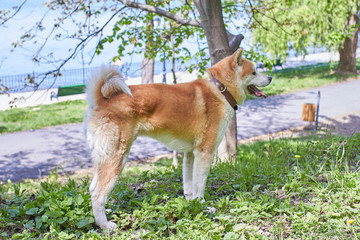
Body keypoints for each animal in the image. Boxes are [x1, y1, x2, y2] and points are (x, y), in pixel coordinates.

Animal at [83, 48, 270, 229]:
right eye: (254, 72)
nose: (270, 77)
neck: (220, 89)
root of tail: (101, 100)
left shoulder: (190, 154)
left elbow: (189, 186)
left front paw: (193, 205)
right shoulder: (204, 153)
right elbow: (200, 185)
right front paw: (203, 206)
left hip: (105, 158)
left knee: (92, 189)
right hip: (116, 158)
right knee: (98, 193)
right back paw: (105, 224)